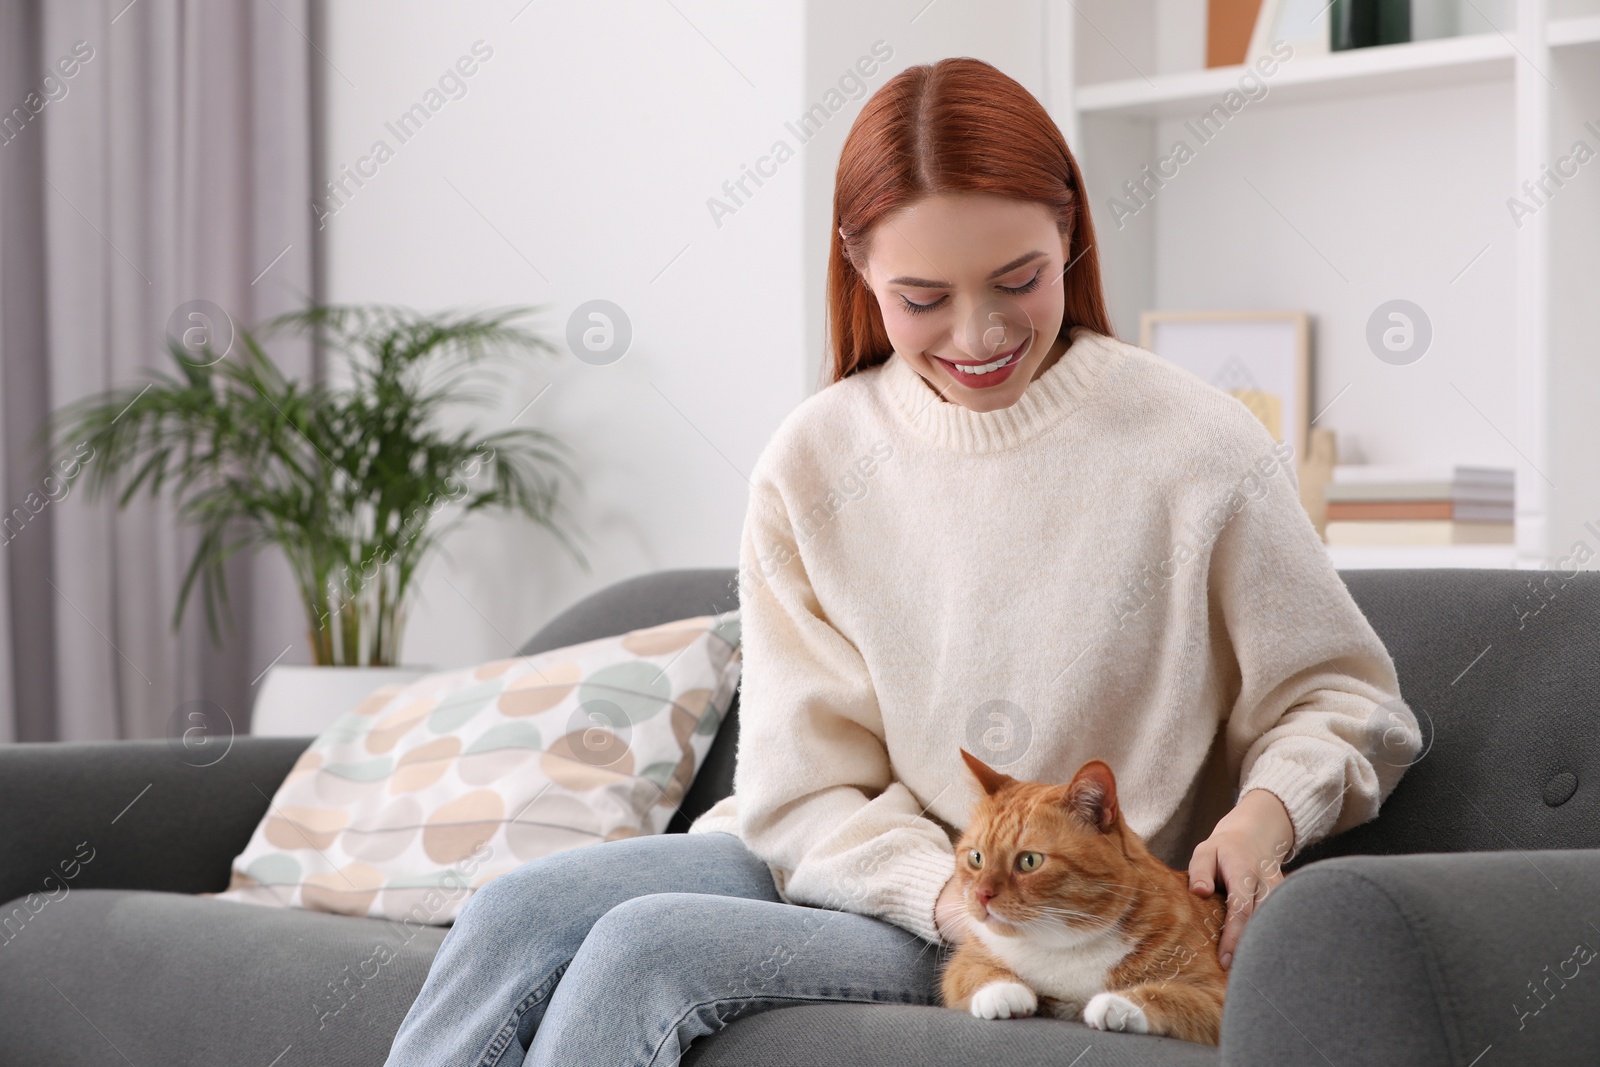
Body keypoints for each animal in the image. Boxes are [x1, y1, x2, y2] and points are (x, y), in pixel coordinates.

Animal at [934, 751, 1222, 1043]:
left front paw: (1118, 1003)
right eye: (976, 858)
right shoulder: (964, 963)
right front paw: (1003, 991)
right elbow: (976, 973)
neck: (1063, 944)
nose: (981, 894)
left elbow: (1173, 996)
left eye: (1029, 861)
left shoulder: (1216, 993)